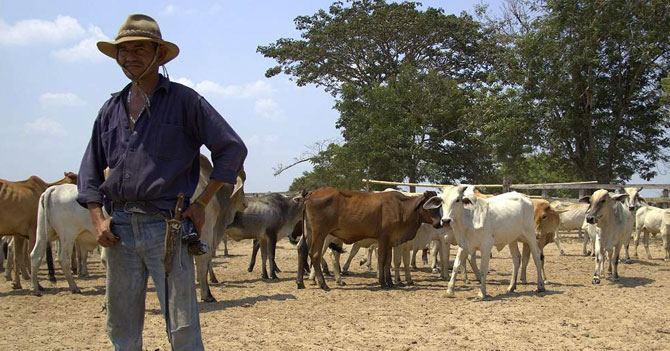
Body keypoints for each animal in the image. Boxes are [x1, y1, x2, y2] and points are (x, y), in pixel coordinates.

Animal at [300, 188, 440, 290]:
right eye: (431, 206)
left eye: (439, 207)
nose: (440, 223)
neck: (401, 208)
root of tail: (311, 193)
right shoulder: (383, 239)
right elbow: (382, 260)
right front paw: (382, 283)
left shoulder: (390, 241)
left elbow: (388, 261)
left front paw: (390, 282)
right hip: (320, 233)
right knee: (316, 255)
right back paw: (323, 284)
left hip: (311, 233)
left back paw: (302, 282)